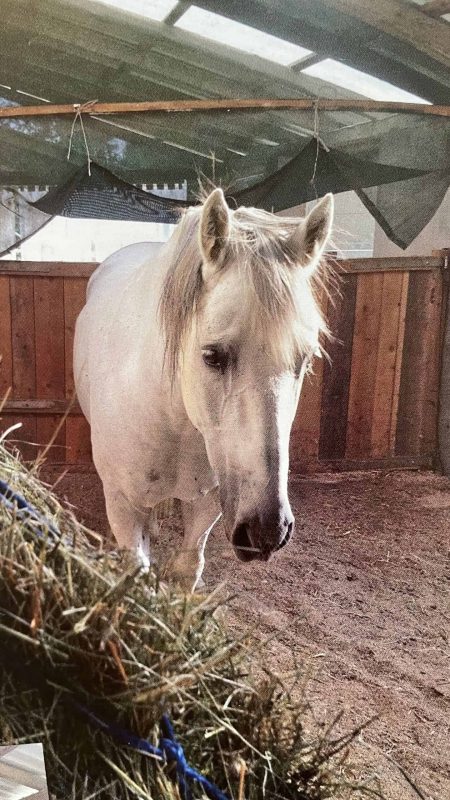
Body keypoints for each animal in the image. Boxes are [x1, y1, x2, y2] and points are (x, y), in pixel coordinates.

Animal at [74, 188, 334, 590]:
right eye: (212, 355)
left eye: (304, 360)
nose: (266, 531)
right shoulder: (121, 505)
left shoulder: (209, 501)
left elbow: (187, 567)